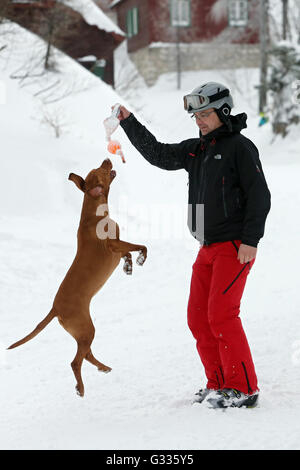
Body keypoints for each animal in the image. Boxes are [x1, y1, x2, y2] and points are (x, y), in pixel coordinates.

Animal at [7, 159, 146, 396]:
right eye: (100, 170)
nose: (107, 159)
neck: (94, 214)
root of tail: (55, 308)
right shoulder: (113, 245)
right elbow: (141, 246)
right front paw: (141, 258)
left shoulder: (117, 248)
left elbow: (128, 253)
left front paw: (129, 266)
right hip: (86, 329)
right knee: (76, 361)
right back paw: (81, 387)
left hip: (82, 332)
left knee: (86, 354)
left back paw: (103, 368)